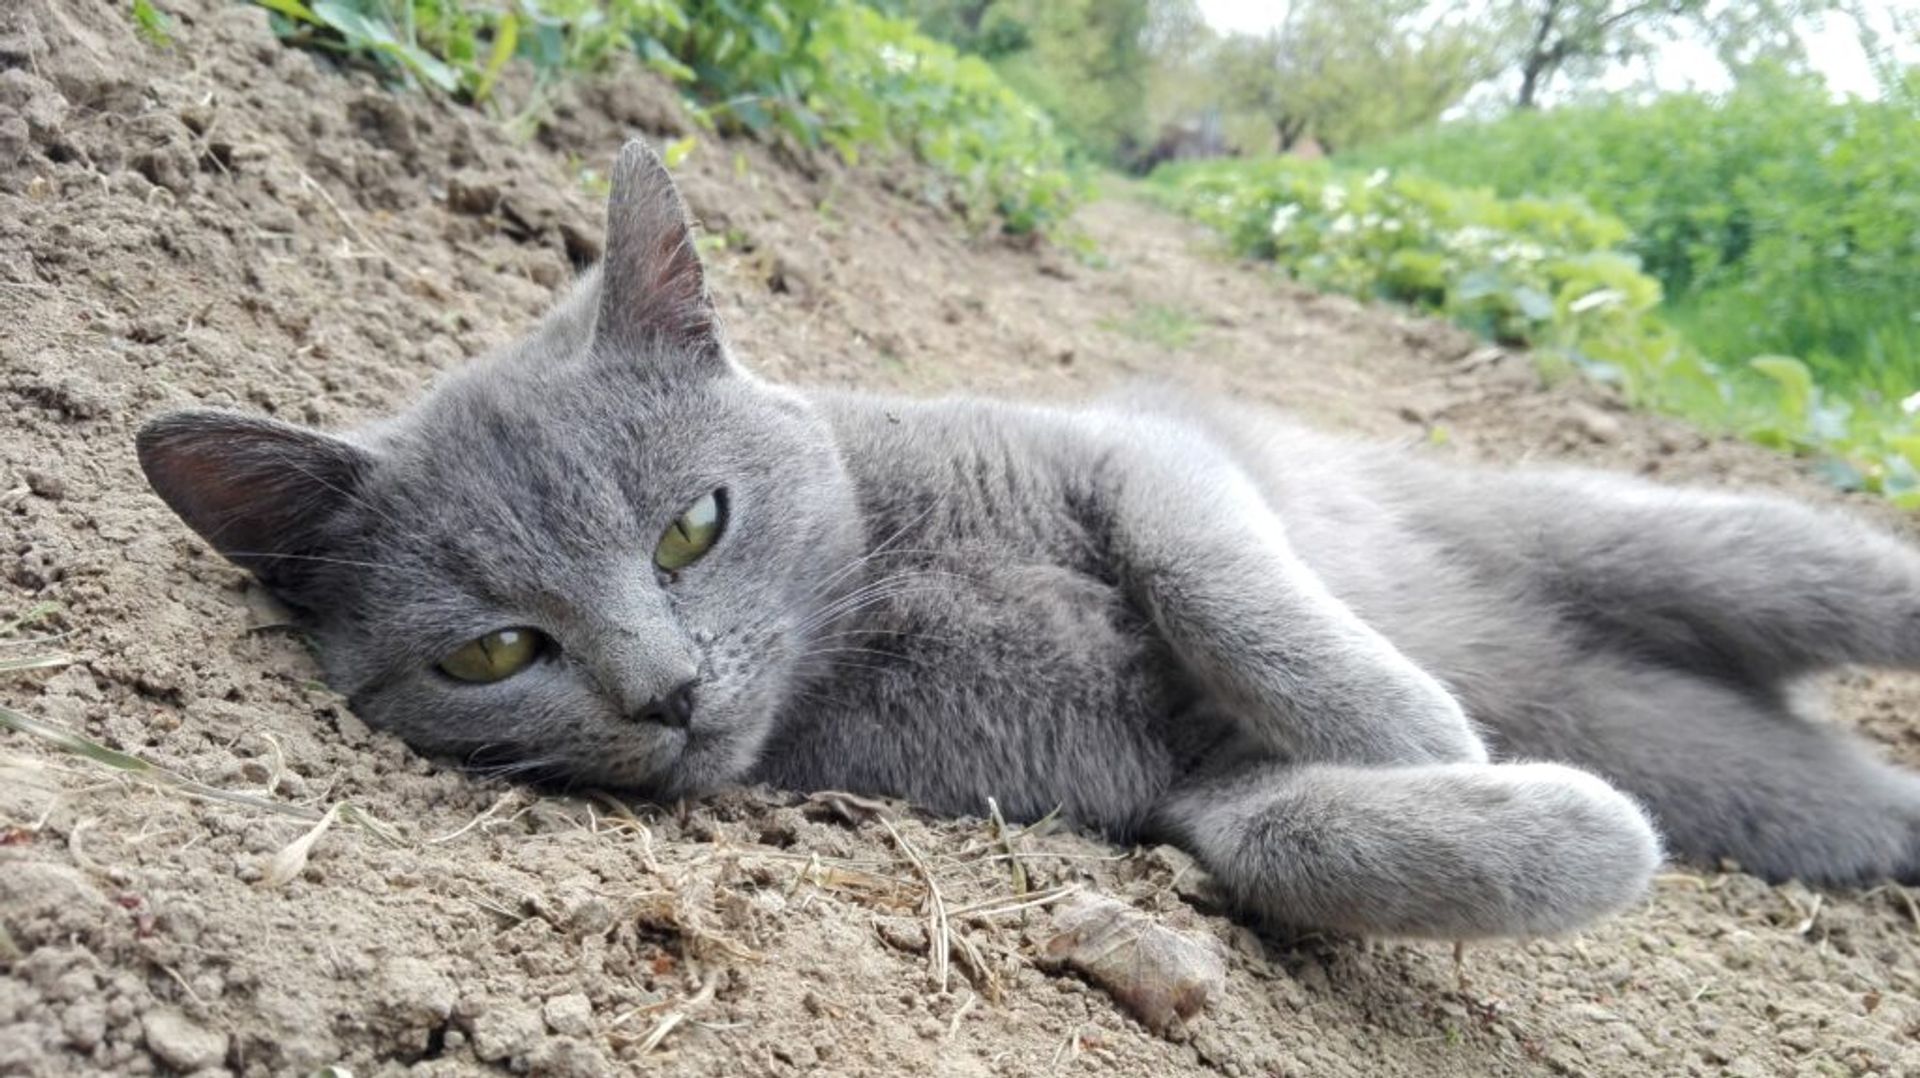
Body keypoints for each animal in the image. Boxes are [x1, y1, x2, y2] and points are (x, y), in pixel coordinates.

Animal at [135, 145, 1920, 941]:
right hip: (1744, 770)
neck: (880, 602)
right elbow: (1293, 833)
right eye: (498, 649)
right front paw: (1547, 815)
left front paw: (1413, 723)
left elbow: (1221, 578)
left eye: (693, 525)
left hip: (1657, 538)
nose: (665, 690)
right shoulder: (1169, 792)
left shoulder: (1136, 454)